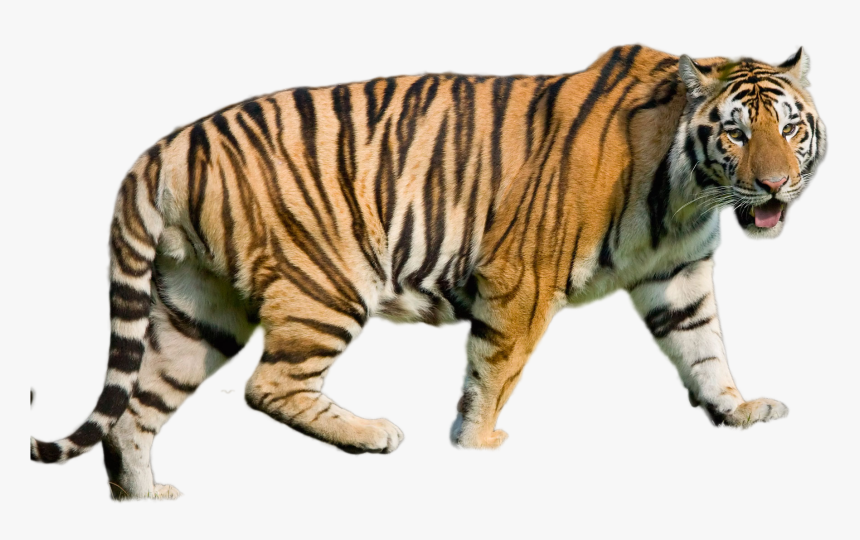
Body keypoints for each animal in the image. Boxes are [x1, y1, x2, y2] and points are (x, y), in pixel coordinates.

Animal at [29, 44, 825, 499]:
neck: (688, 193)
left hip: (199, 309)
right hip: (326, 284)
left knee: (135, 410)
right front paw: (475, 446)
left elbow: (705, 349)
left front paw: (738, 410)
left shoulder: (679, 276)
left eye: (789, 127)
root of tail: (164, 147)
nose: (777, 186)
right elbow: (494, 370)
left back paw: (144, 500)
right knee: (267, 386)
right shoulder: (522, 278)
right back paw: (373, 435)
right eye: (735, 132)